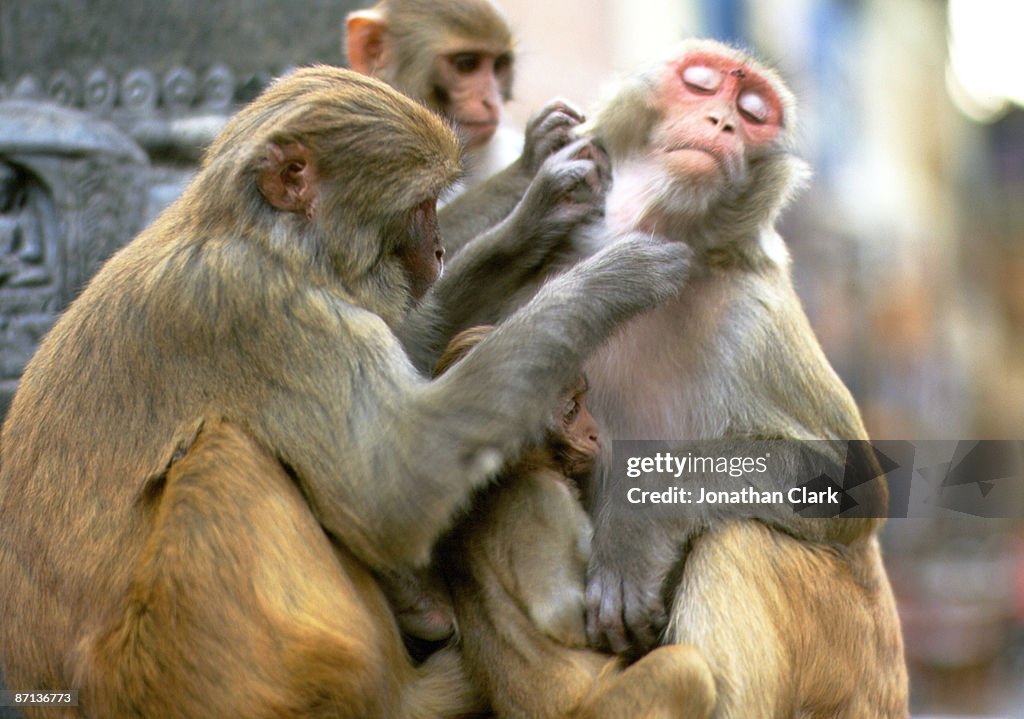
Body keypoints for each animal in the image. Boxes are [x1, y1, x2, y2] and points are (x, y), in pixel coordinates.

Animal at [430, 327, 712, 719]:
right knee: (686, 666)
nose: (594, 432)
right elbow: (560, 613)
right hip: (608, 709)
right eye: (572, 410)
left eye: (582, 400)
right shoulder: (540, 498)